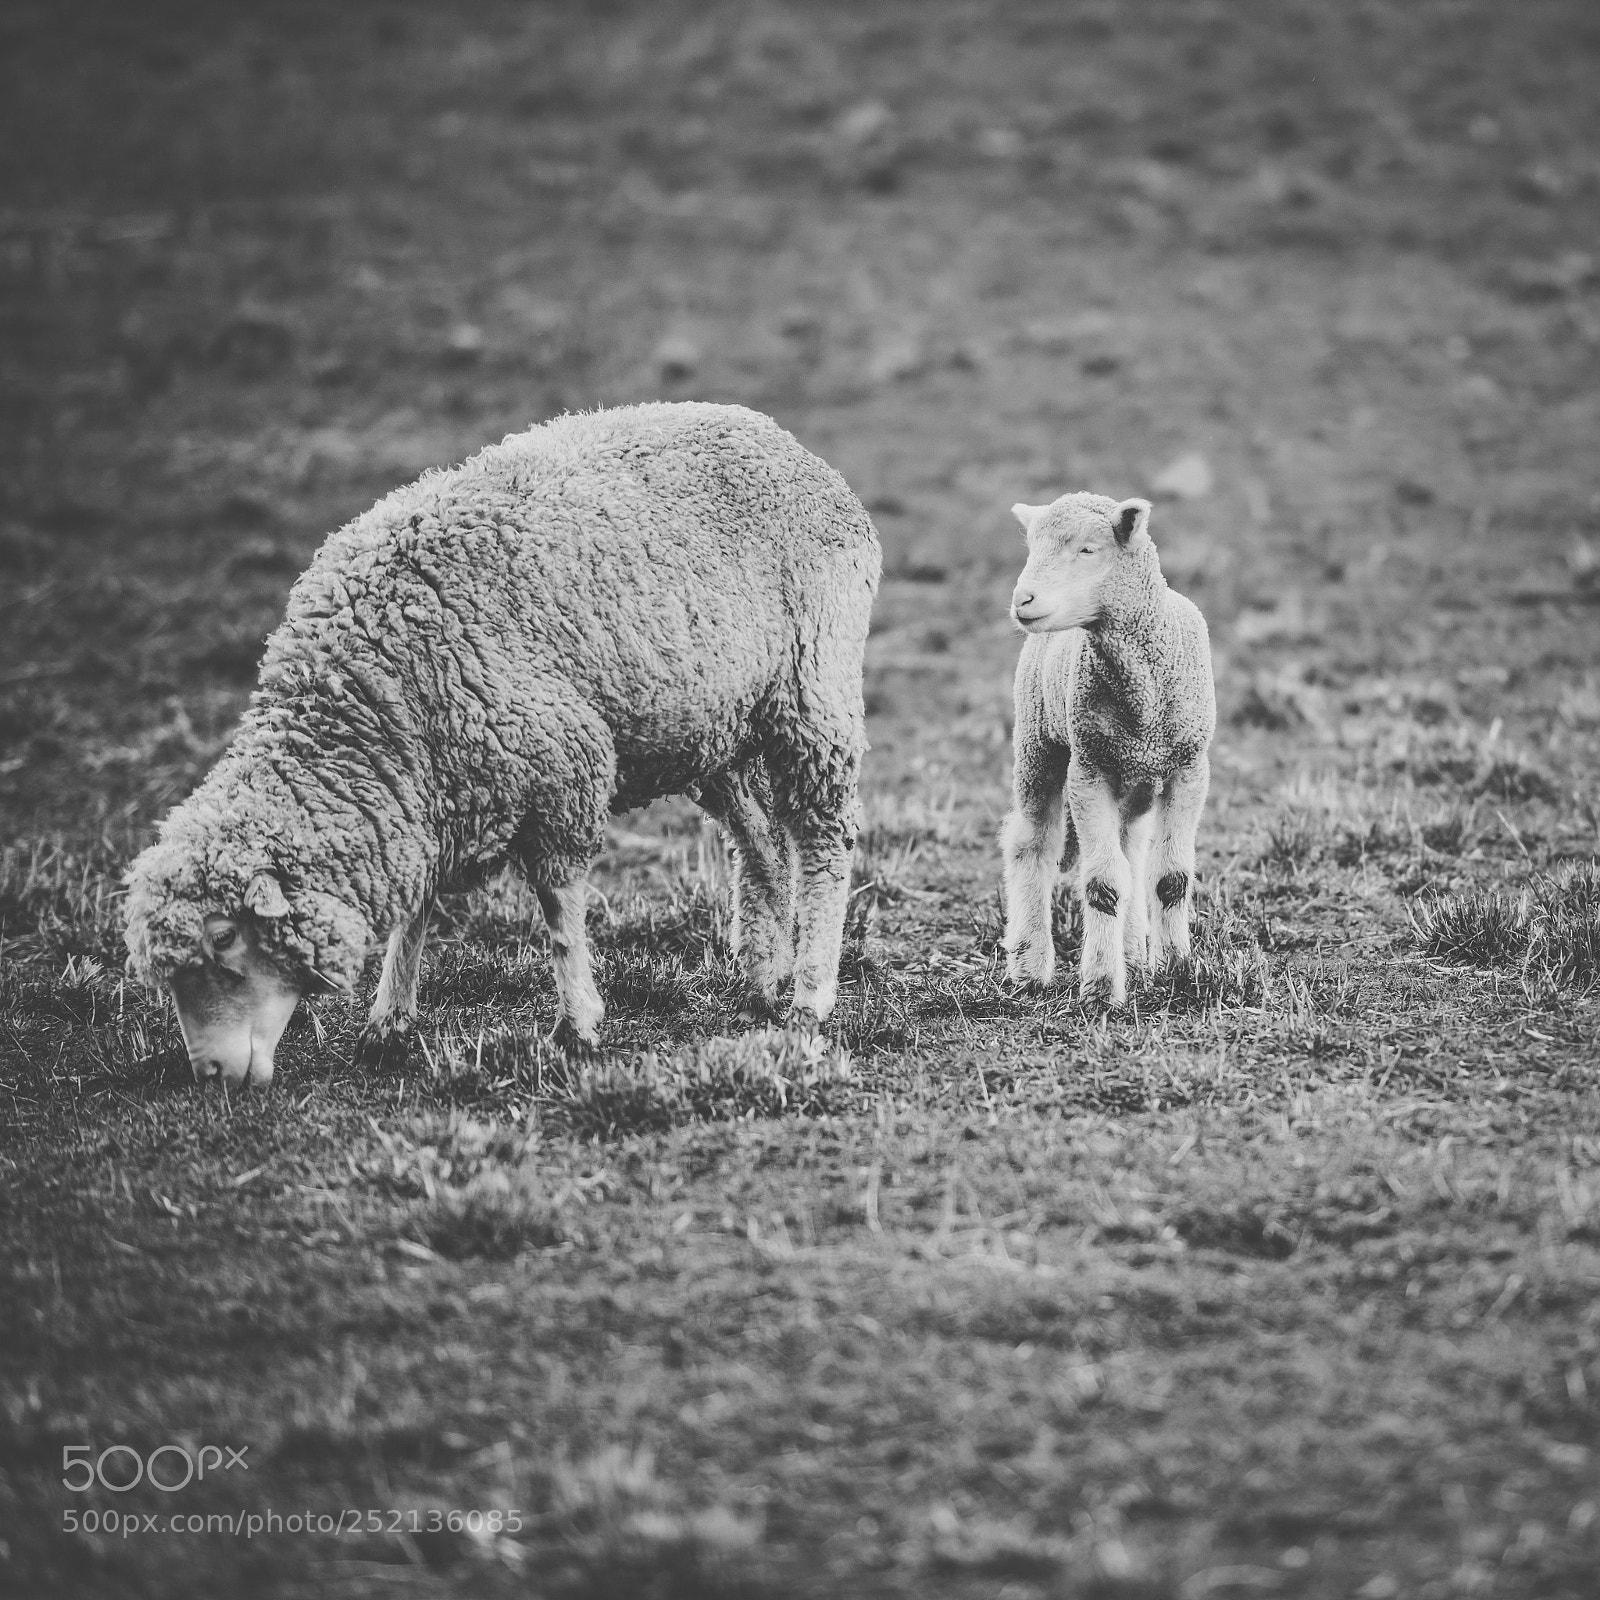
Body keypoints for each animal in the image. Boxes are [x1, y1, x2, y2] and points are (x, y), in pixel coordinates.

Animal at [124, 401, 881, 1086]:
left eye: (225, 938)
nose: (211, 1075)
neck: (372, 696)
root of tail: (787, 444)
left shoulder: (562, 766)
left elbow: (557, 908)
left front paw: (579, 1026)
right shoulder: (431, 788)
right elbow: (416, 911)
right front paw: (388, 1023)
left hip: (813, 688)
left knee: (824, 839)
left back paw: (810, 996)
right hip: (713, 726)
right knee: (760, 844)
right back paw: (762, 979)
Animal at [999, 492, 1214, 1005]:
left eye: (1087, 550)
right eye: (1031, 547)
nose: (1023, 600)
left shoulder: (1189, 767)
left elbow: (1171, 878)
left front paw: (1176, 971)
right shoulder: (1089, 769)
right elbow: (1102, 885)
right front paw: (1099, 986)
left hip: (1133, 779)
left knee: (1130, 851)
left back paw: (1135, 954)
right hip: (1038, 742)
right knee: (1030, 843)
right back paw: (1030, 964)